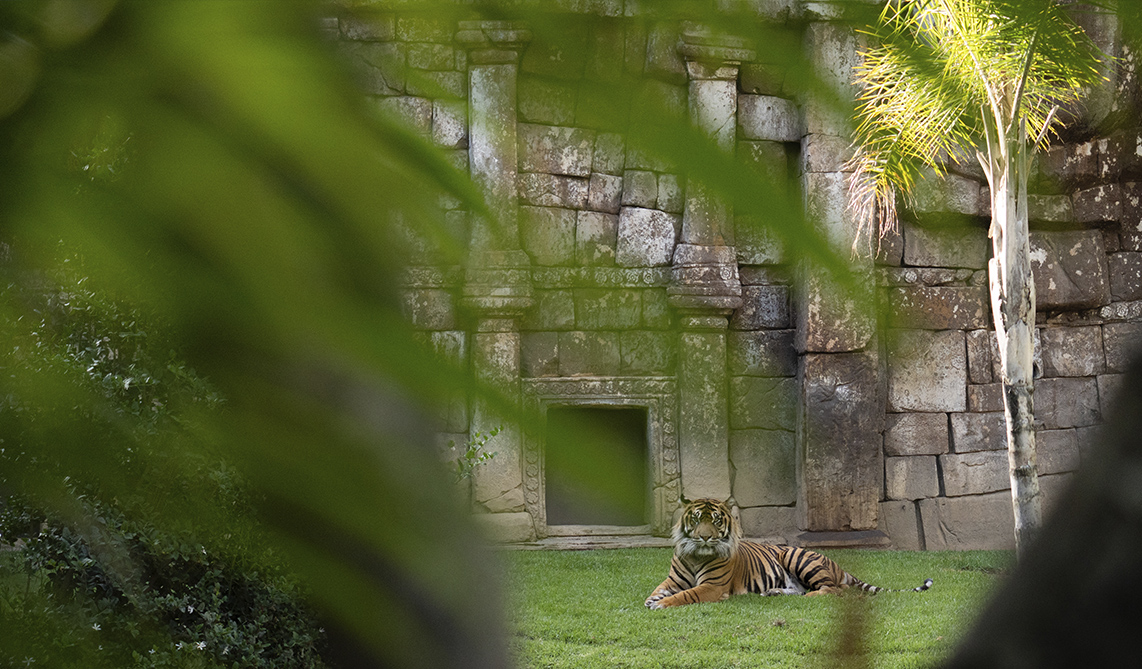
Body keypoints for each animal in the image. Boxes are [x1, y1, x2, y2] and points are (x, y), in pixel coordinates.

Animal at [645, 498, 933, 609]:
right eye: (695, 519)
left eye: (716, 520)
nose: (704, 537)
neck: (696, 554)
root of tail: (839, 566)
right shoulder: (672, 579)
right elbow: (660, 588)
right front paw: (653, 599)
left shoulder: (712, 587)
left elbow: (687, 594)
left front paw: (661, 604)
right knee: (802, 590)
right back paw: (773, 592)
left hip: (797, 557)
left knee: (833, 590)